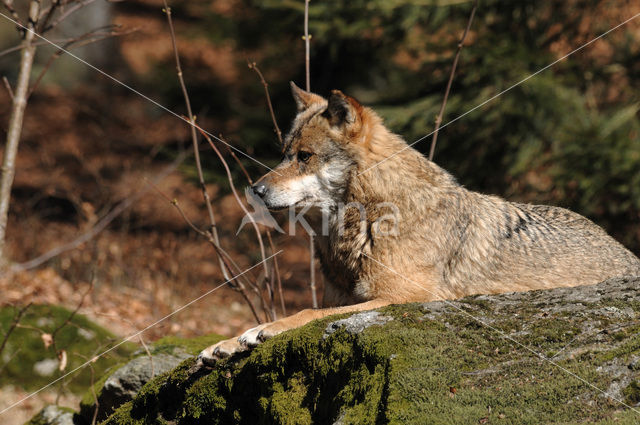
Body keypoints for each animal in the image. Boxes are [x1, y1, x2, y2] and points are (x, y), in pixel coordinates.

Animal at [199, 83, 640, 364]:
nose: (255, 190)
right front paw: (225, 343)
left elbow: (306, 314)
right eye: (284, 153)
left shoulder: (400, 297)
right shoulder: (343, 296)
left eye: (304, 156)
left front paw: (262, 331)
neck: (367, 220)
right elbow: (306, 310)